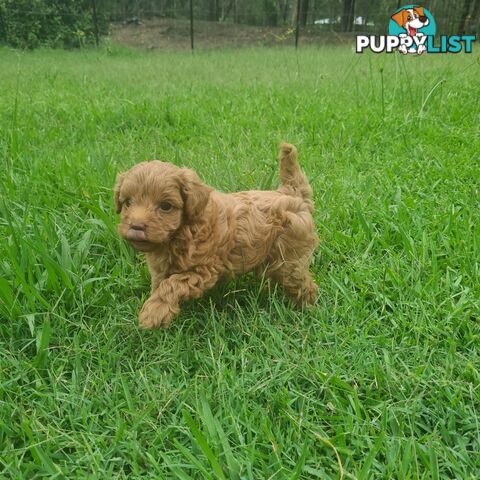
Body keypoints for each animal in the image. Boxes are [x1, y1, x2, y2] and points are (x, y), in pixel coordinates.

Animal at [114, 144, 318, 328]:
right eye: (128, 203)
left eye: (165, 206)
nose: (136, 226)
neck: (183, 231)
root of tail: (291, 193)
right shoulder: (160, 269)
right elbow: (159, 285)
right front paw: (161, 310)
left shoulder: (203, 270)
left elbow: (171, 285)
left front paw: (153, 312)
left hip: (290, 258)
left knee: (303, 284)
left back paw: (307, 310)